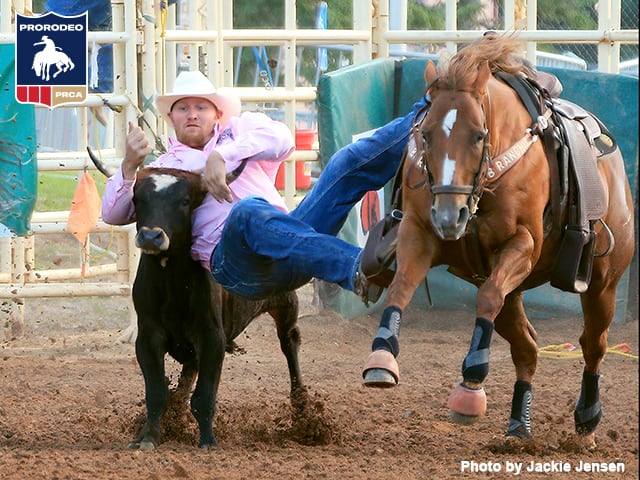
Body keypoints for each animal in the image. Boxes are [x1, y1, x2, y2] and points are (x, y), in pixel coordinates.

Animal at [360, 33, 636, 446]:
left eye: (478, 135)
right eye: (425, 135)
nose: (450, 216)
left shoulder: (522, 244)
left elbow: (487, 297)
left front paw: (471, 383)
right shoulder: (419, 232)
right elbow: (402, 287)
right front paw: (381, 357)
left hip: (603, 284)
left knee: (593, 344)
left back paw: (587, 420)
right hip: (515, 292)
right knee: (528, 349)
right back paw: (519, 424)